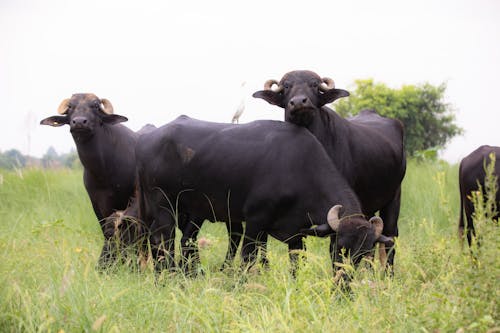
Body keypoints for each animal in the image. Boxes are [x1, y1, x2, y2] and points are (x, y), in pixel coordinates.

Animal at [135, 115, 392, 274]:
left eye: (365, 253)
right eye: (340, 247)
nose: (344, 283)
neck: (298, 167)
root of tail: (145, 140)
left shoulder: (296, 232)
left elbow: (296, 262)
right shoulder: (255, 221)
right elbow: (248, 257)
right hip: (164, 205)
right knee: (163, 239)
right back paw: (167, 275)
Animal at [254, 70, 406, 268]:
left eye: (314, 85)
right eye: (287, 86)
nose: (299, 102)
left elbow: (336, 251)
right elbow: (297, 252)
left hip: (394, 198)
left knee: (389, 239)